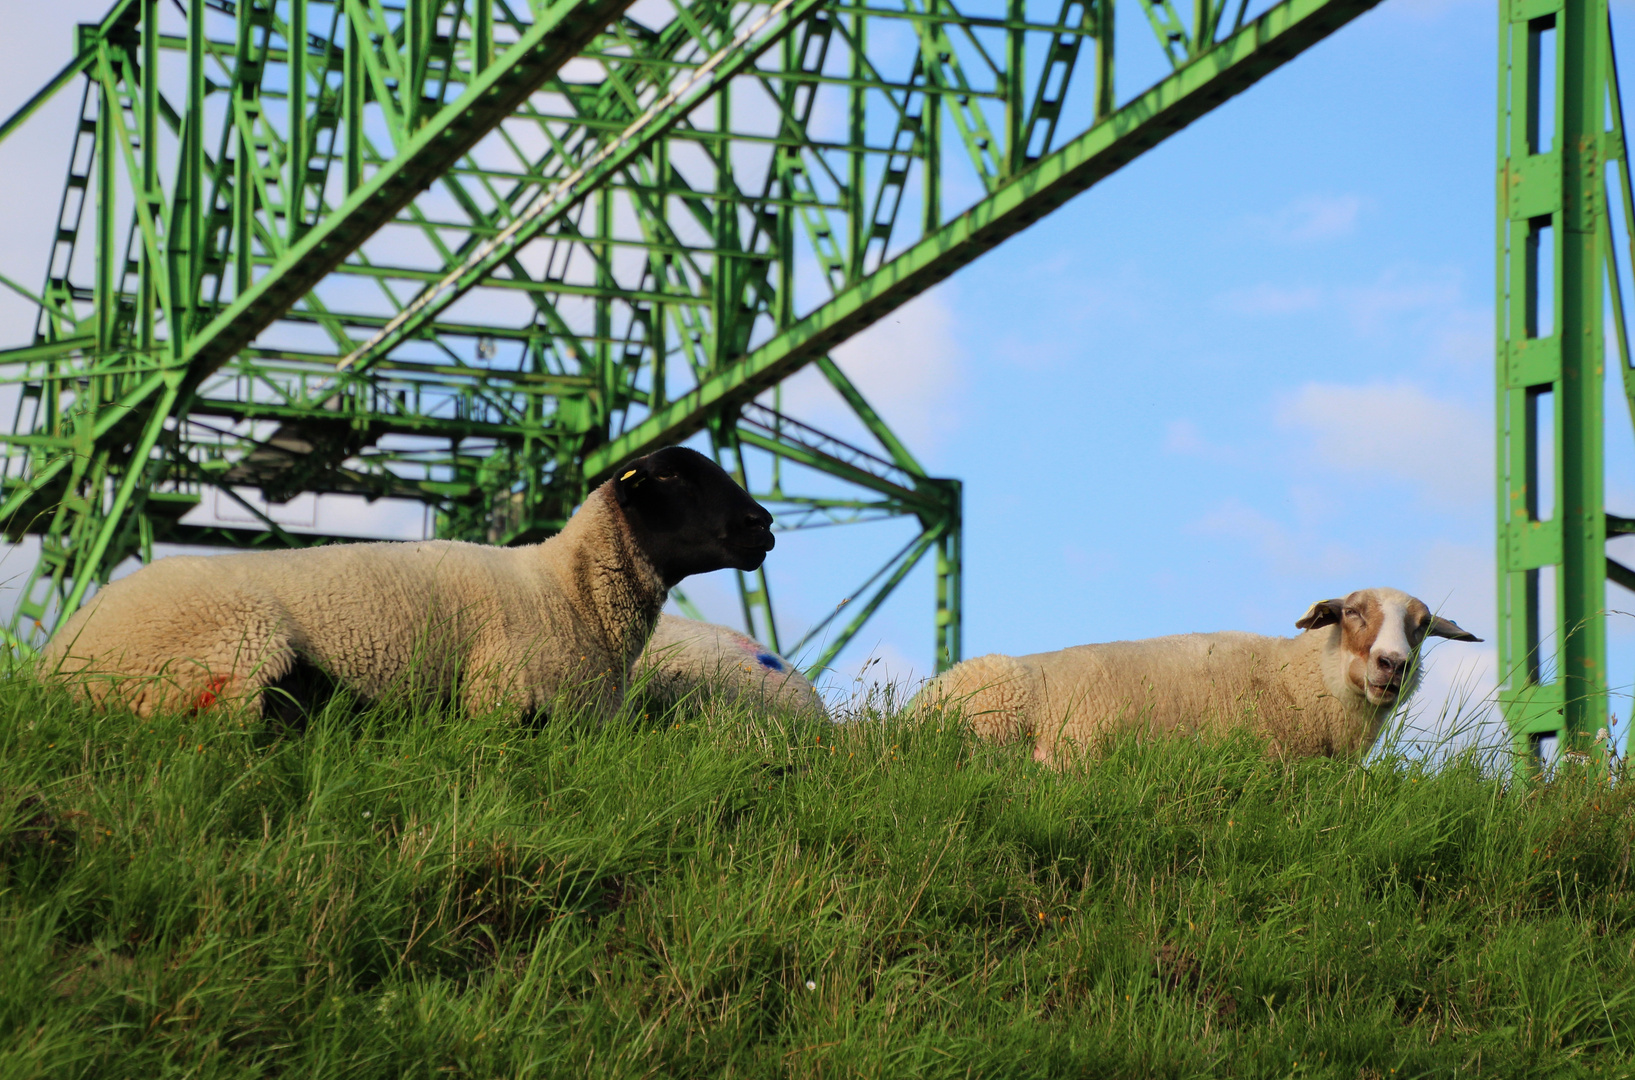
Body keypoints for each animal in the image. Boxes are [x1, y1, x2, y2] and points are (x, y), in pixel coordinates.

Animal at [39, 441, 778, 718]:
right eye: (674, 475)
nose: (763, 524)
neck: (570, 592)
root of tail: (51, 662)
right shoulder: (501, 695)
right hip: (232, 648)